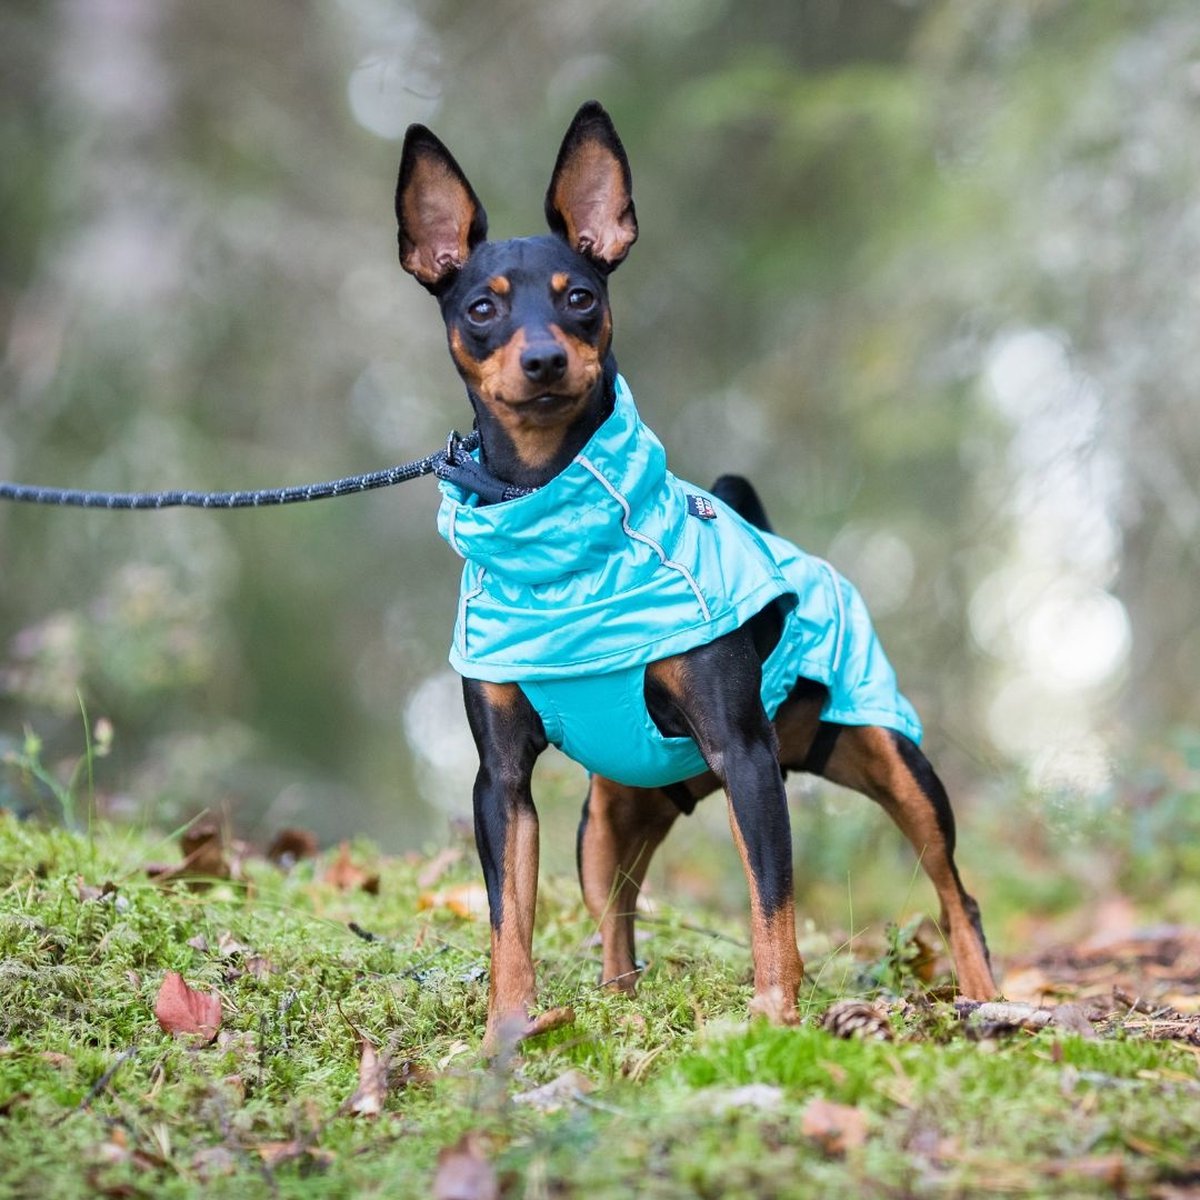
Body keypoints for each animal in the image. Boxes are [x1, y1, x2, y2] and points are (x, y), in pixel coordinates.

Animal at [393, 100, 993, 1051]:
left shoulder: (743, 754)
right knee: (619, 920)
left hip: (889, 759)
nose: (543, 361)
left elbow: (771, 905)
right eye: (482, 307)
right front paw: (506, 1035)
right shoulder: (503, 786)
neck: (558, 535)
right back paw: (619, 1006)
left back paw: (986, 998)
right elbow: (507, 921)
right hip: (606, 825)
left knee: (952, 890)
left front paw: (774, 1018)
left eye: (581, 297)